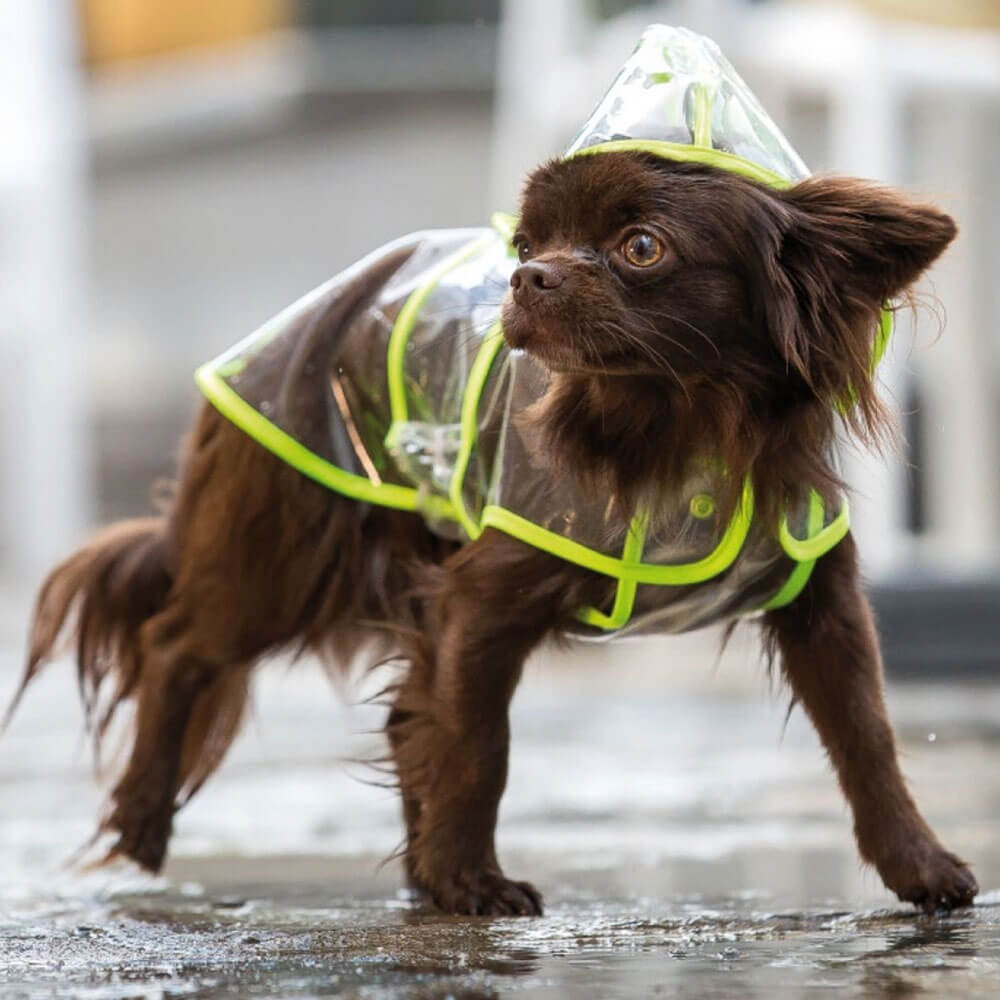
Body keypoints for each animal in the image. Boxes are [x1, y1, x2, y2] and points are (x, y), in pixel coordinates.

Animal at [7, 150, 976, 916]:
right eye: (526, 245)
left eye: (642, 246)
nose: (529, 277)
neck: (670, 429)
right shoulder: (481, 602)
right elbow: (479, 746)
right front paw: (472, 882)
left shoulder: (822, 604)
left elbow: (867, 736)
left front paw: (919, 865)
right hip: (279, 552)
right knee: (176, 645)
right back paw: (145, 823)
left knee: (403, 712)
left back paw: (418, 870)